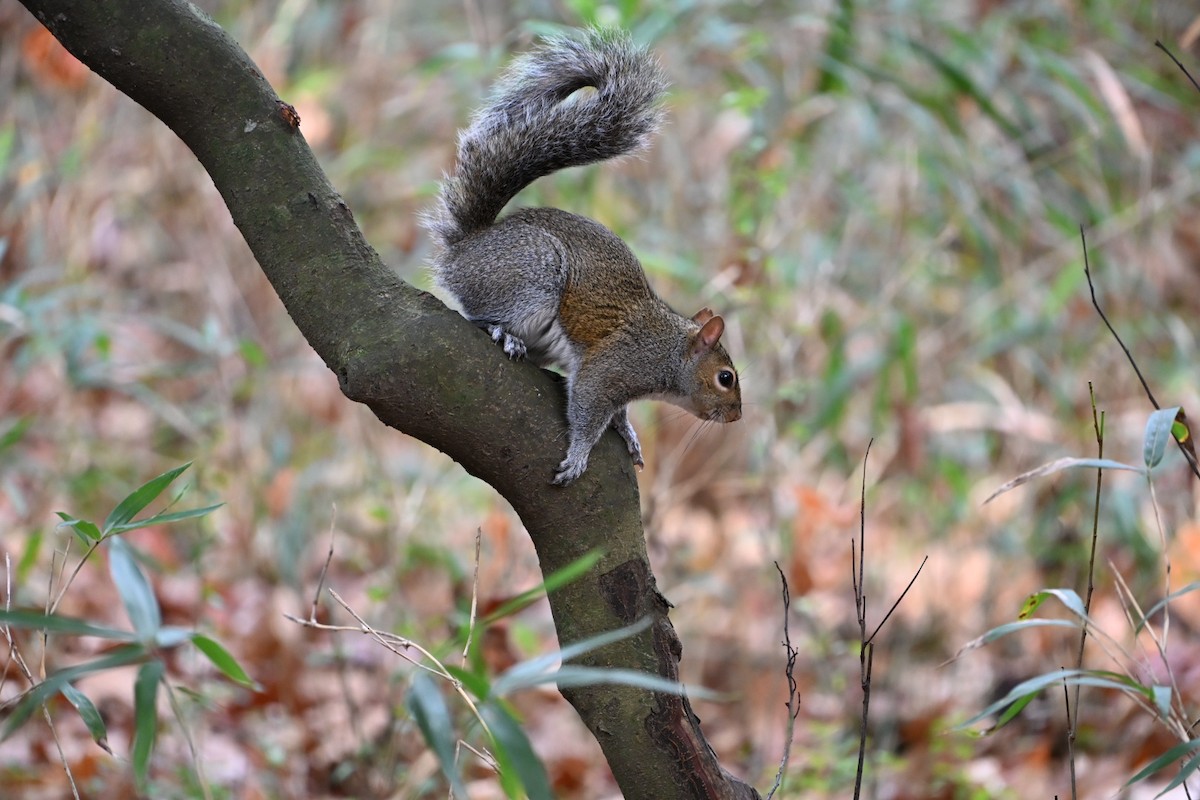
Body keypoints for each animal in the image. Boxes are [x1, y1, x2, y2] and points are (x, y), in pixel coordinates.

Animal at [425, 29, 742, 485]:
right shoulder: (611, 367)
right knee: (477, 315)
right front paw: (578, 455)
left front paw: (628, 434)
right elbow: (588, 407)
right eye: (725, 378)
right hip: (534, 275)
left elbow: (617, 413)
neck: (667, 350)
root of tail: (465, 248)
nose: (736, 416)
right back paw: (503, 333)